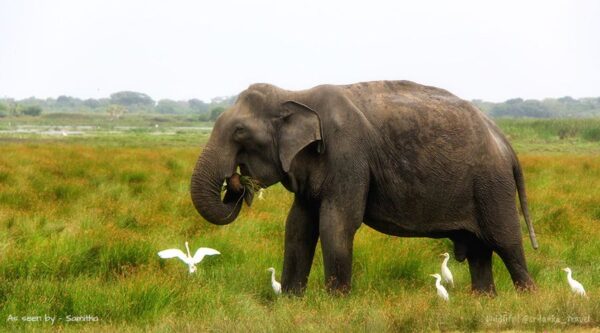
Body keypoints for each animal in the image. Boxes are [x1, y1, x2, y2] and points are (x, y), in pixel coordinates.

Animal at [192, 80, 540, 294]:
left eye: (239, 132)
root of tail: (504, 140)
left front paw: (335, 304)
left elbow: (337, 224)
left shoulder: (348, 155)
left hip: (492, 186)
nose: (236, 182)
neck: (296, 94)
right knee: (481, 251)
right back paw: (484, 300)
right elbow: (298, 227)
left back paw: (529, 299)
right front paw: (290, 301)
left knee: (507, 243)